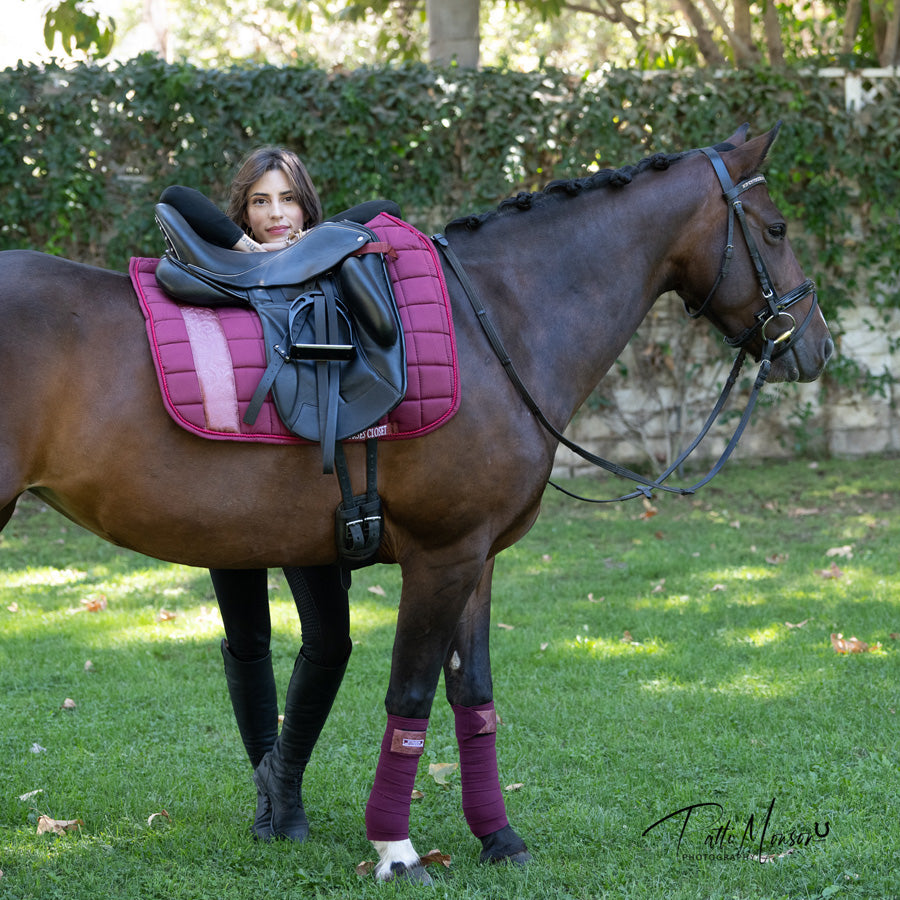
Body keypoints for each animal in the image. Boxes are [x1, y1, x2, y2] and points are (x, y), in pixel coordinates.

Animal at [0, 125, 828, 880]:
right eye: (777, 230)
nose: (816, 346)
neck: (498, 323)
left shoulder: (478, 558)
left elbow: (475, 697)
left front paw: (498, 837)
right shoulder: (441, 555)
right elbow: (411, 697)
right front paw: (396, 851)